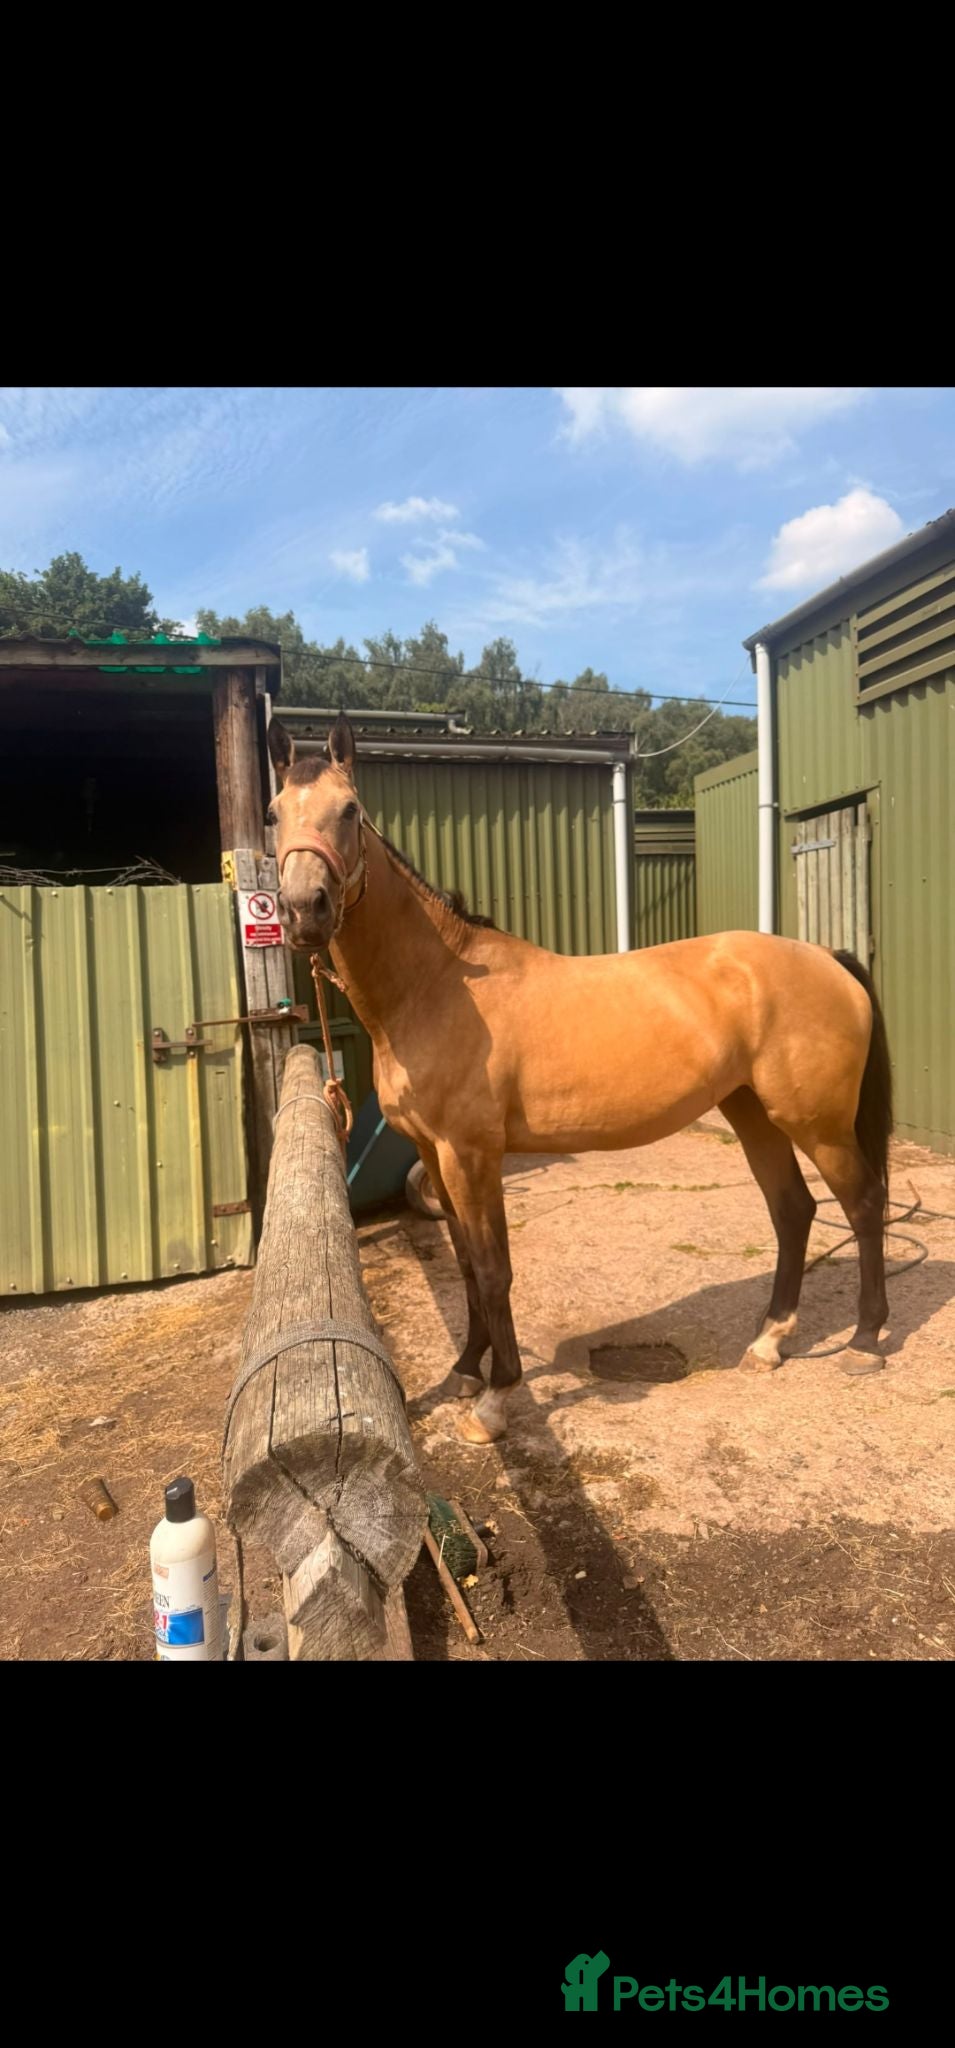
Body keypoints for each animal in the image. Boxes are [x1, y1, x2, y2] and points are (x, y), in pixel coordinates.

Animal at [267, 712, 893, 1444]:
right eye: (275, 813)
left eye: (349, 809)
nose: (303, 910)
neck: (437, 987)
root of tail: (824, 956)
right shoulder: (434, 1154)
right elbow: (464, 1267)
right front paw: (464, 1371)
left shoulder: (471, 1156)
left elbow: (493, 1269)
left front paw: (495, 1399)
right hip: (752, 1113)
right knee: (793, 1210)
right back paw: (769, 1341)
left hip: (817, 1124)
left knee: (864, 1204)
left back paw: (864, 1341)